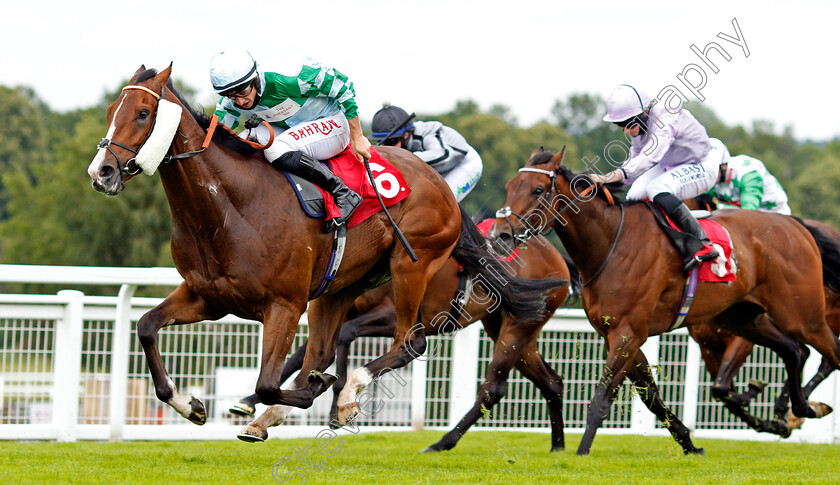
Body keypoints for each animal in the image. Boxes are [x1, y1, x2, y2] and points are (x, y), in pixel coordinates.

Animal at [231, 233, 572, 448]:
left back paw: (441, 443)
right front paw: (249, 402)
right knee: (551, 381)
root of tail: (557, 255)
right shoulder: (344, 305)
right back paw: (558, 448)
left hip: (516, 328)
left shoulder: (391, 316)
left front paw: (336, 403)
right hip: (509, 326)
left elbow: (343, 338)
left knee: (495, 388)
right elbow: (304, 354)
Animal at [488, 147, 840, 454]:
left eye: (537, 190)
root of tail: (796, 225)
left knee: (828, 354)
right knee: (794, 350)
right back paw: (797, 410)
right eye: (509, 187)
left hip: (802, 315)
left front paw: (582, 453)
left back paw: (800, 409)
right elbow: (651, 396)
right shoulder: (618, 334)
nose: (499, 236)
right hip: (742, 317)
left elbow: (602, 398)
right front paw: (690, 445)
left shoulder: (629, 332)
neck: (611, 243)